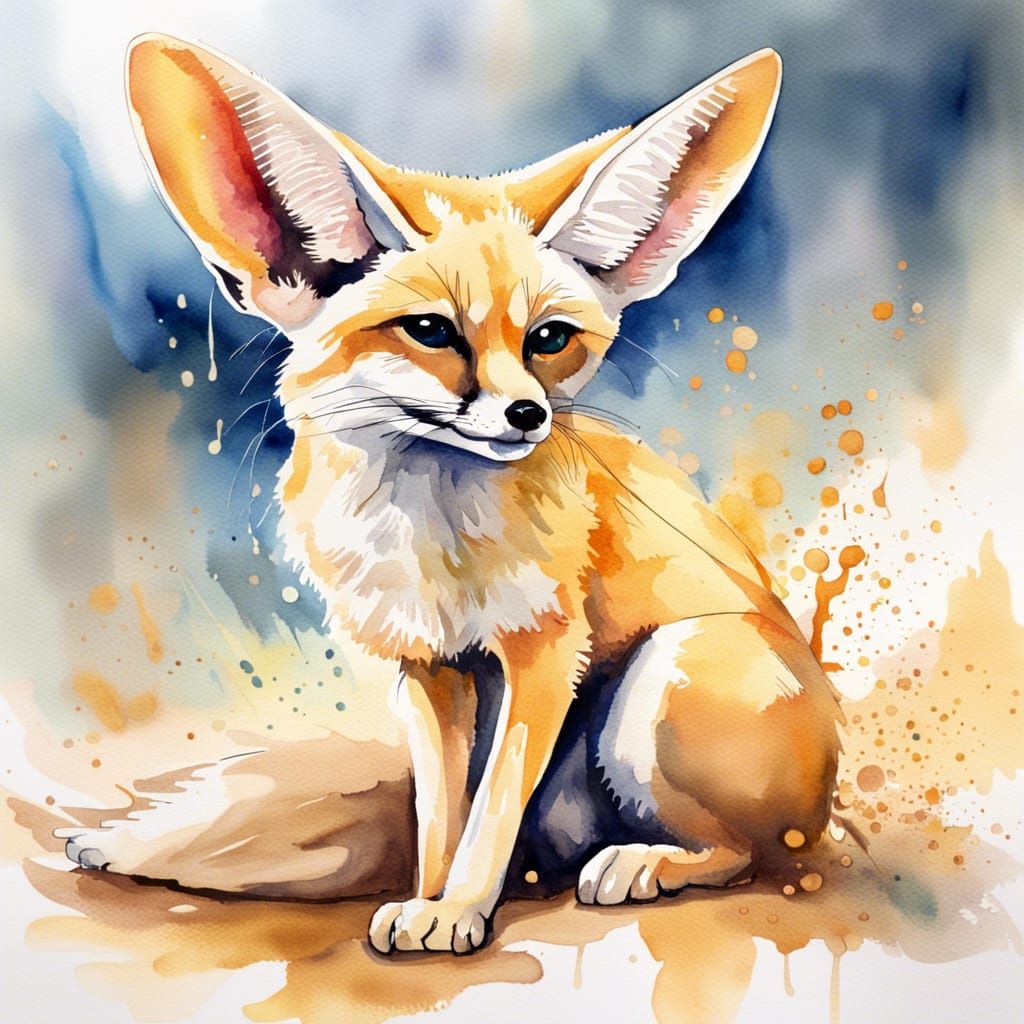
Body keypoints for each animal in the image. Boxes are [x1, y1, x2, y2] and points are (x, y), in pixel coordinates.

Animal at [64, 35, 841, 956]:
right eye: (431, 331)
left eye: (550, 339)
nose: (527, 414)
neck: (430, 542)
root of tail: (827, 795)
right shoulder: (429, 669)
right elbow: (443, 814)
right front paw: (429, 903)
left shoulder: (544, 653)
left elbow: (491, 810)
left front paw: (460, 910)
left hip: (664, 679)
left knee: (748, 852)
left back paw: (648, 862)